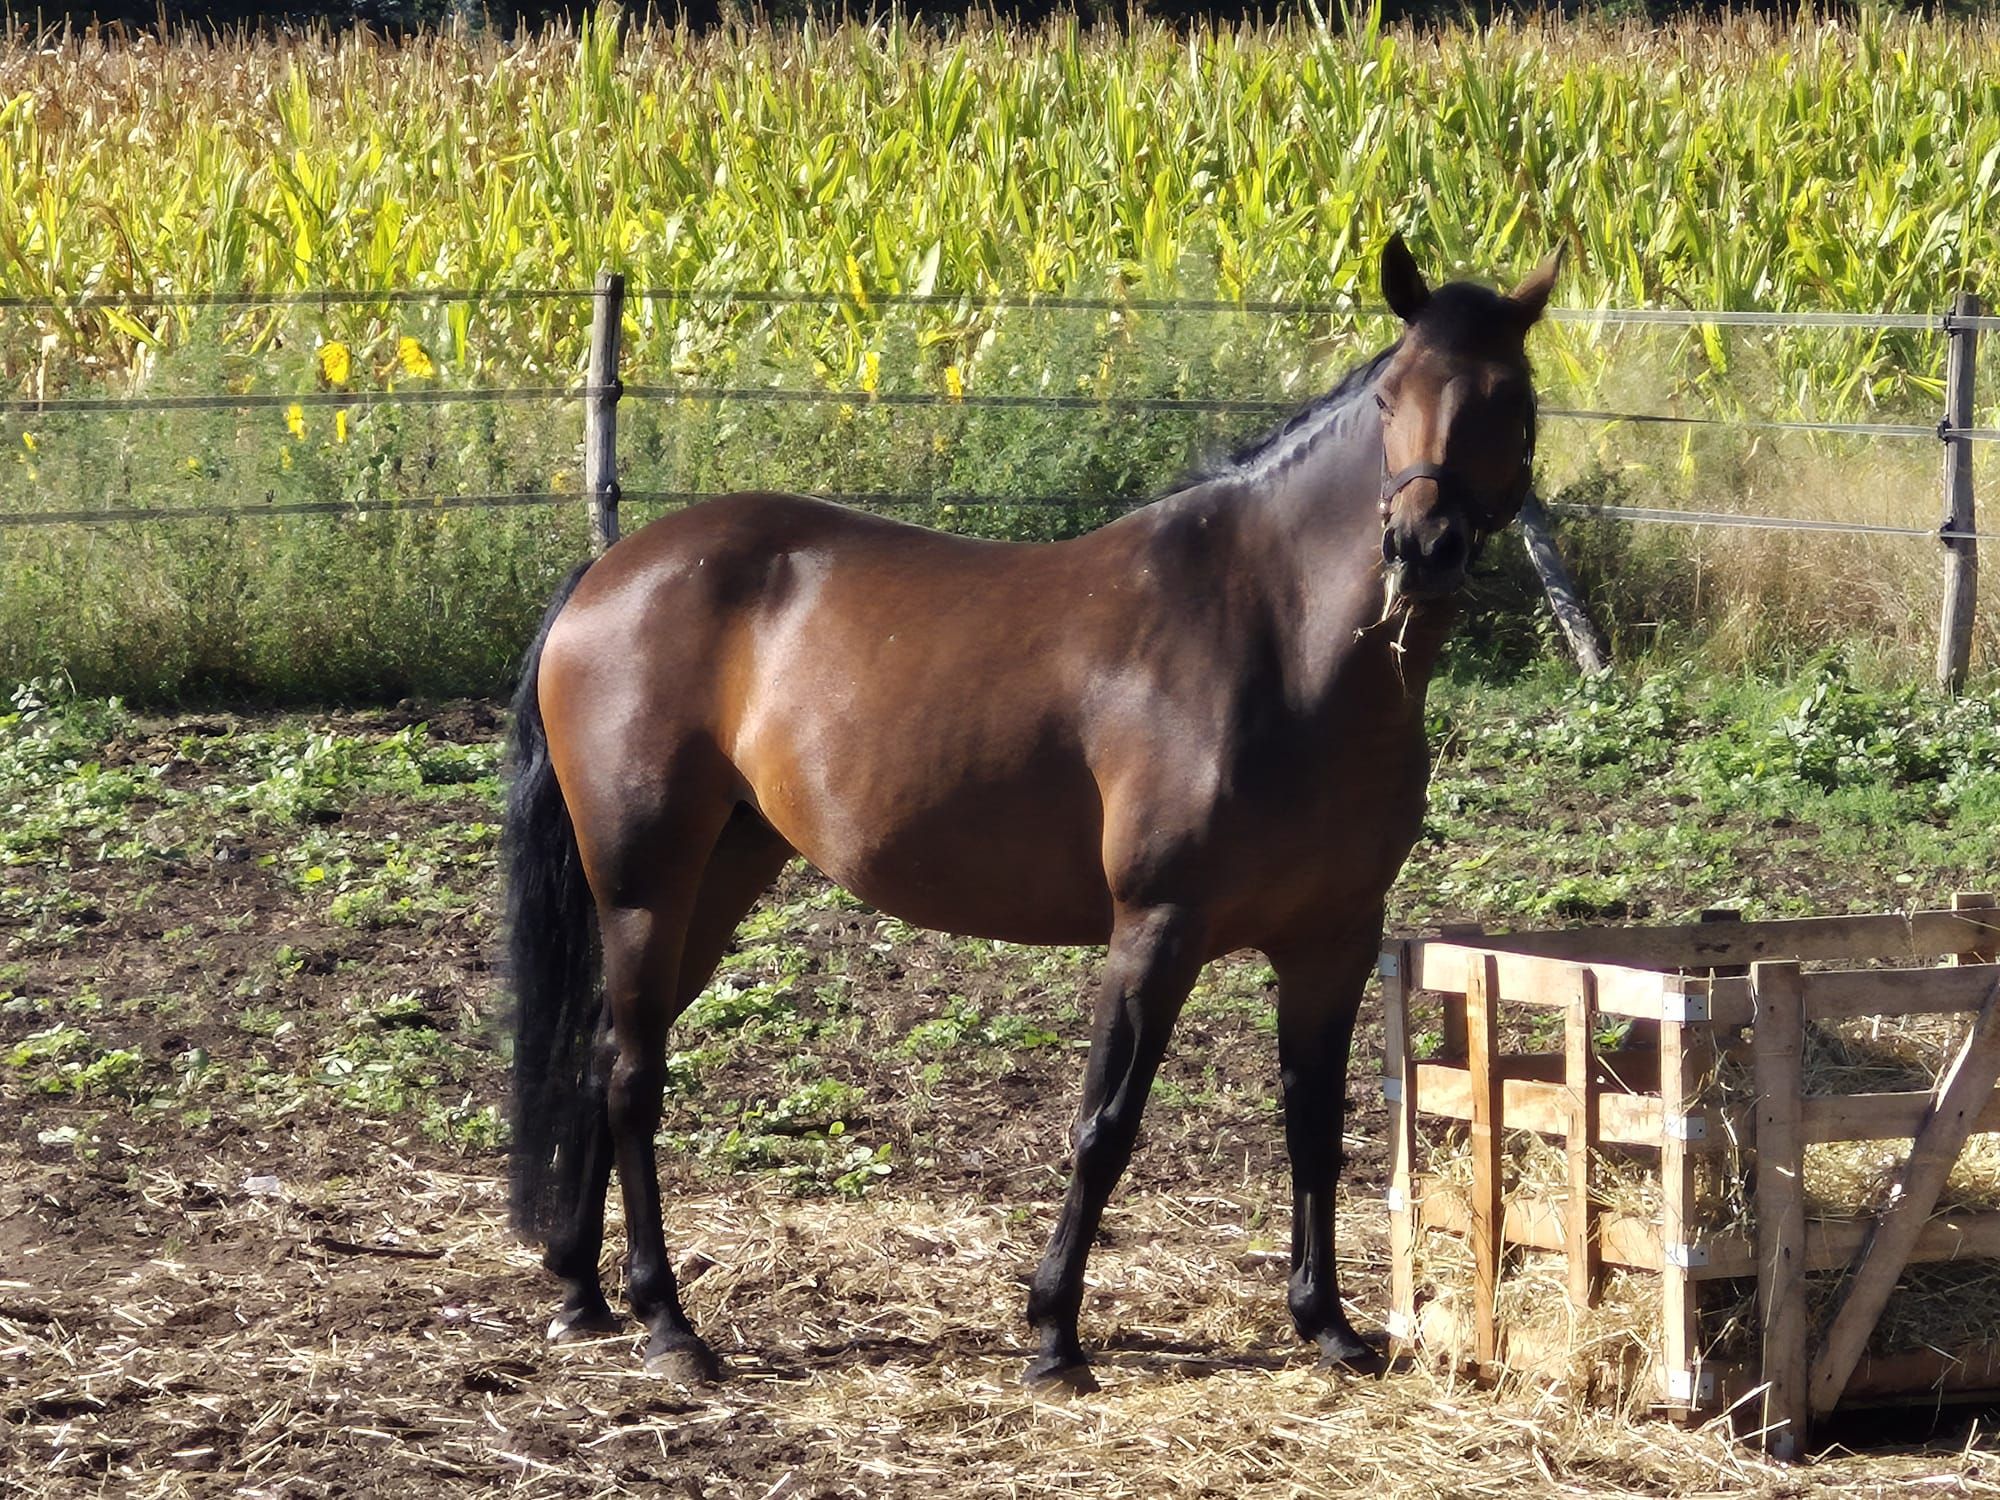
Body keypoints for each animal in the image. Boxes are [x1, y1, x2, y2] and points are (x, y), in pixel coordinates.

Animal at [504, 234, 1560, 1389]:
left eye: (1511, 399)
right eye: (1387, 396)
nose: (1422, 545)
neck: (1278, 640)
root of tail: (613, 570)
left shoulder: (1332, 941)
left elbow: (1315, 1129)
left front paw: (1326, 1323)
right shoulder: (1156, 931)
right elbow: (1105, 1126)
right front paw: (1054, 1333)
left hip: (719, 875)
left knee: (606, 1050)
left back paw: (582, 1293)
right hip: (643, 884)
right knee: (631, 1072)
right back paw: (666, 1321)